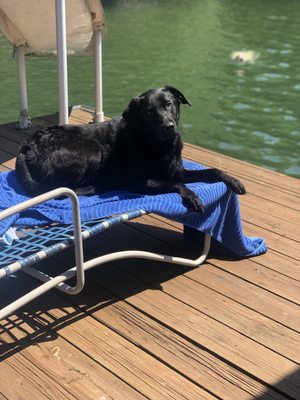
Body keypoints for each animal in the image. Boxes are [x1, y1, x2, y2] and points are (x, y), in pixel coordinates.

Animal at [15, 86, 246, 214]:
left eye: (169, 104)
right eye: (150, 111)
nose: (169, 126)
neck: (159, 144)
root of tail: (25, 148)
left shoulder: (178, 170)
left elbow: (212, 171)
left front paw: (233, 180)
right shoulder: (140, 182)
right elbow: (176, 184)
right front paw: (192, 196)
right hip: (94, 150)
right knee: (63, 190)